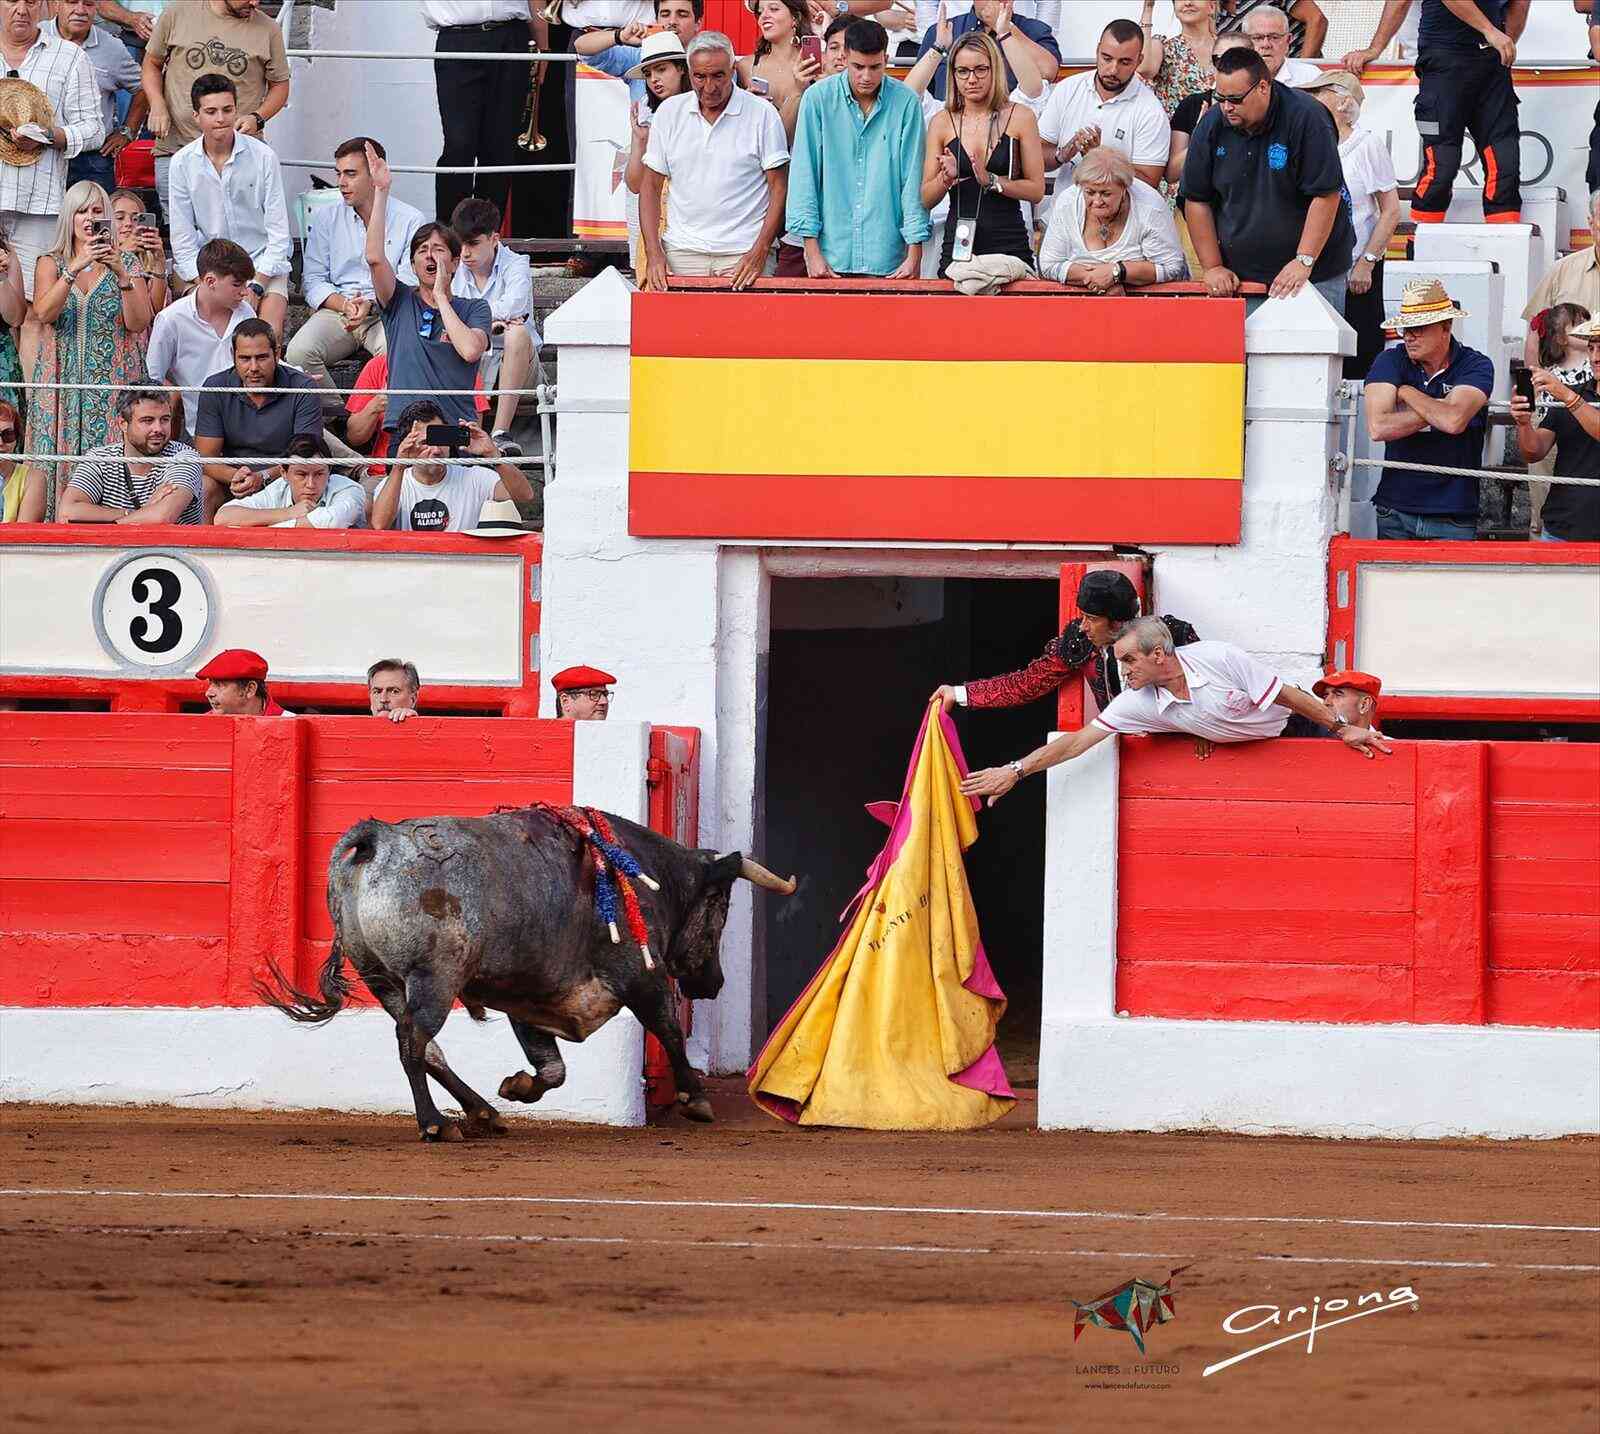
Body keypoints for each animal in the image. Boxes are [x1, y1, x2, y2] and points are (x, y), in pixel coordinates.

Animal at [256, 805, 795, 1141]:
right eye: (720, 905)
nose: (714, 983)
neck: (649, 876)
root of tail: (379, 838)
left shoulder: (529, 996)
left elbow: (552, 1068)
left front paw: (518, 1087)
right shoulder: (643, 977)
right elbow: (667, 1030)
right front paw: (696, 1099)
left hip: (384, 981)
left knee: (425, 1047)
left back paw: (484, 1112)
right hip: (435, 978)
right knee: (413, 1041)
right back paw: (435, 1123)